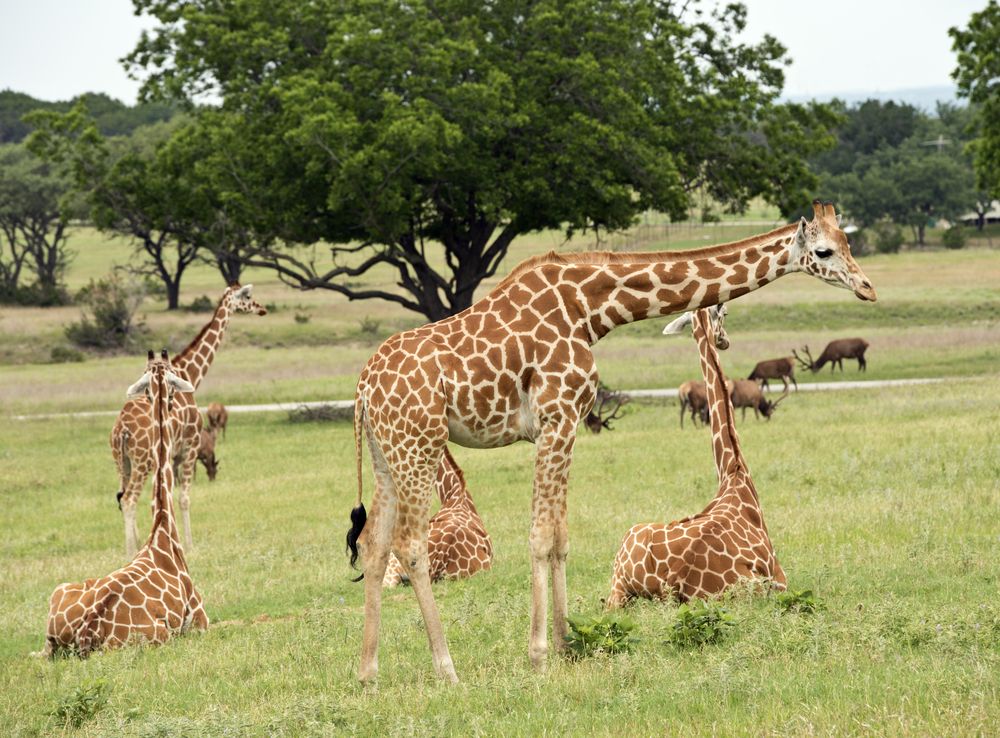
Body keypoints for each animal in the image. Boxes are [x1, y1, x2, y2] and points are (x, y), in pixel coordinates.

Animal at [46, 350, 209, 656]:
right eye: (172, 387)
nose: (170, 402)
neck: (162, 528)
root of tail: (87, 633)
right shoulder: (201, 620)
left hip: (58, 593)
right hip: (158, 636)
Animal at [112, 284, 266, 557]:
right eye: (247, 297)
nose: (262, 309)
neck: (189, 373)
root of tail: (121, 431)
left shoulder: (172, 455)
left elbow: (166, 497)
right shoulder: (189, 446)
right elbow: (183, 497)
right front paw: (190, 544)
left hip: (123, 463)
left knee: (122, 498)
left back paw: (135, 546)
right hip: (142, 462)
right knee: (129, 499)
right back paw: (133, 551)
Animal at [606, 305, 787, 607]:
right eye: (724, 314)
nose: (725, 341)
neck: (733, 470)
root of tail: (675, 580)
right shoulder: (781, 577)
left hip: (619, 581)